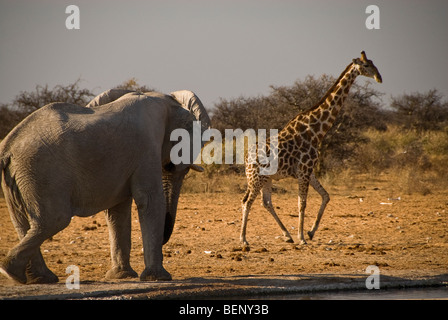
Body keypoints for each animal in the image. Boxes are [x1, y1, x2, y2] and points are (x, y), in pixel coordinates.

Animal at [0, 89, 211, 284]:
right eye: (172, 167)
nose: (165, 240)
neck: (167, 101)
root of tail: (7, 146)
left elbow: (117, 210)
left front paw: (122, 276)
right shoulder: (146, 147)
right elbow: (149, 201)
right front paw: (159, 278)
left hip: (20, 174)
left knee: (22, 222)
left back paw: (35, 277)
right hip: (41, 170)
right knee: (55, 219)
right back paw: (15, 273)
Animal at [240, 50, 384, 246]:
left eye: (373, 63)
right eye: (367, 65)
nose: (379, 77)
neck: (316, 131)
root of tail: (246, 158)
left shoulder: (310, 171)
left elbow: (326, 196)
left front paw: (310, 232)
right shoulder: (304, 170)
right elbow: (302, 203)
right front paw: (302, 237)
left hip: (266, 179)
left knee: (265, 202)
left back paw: (287, 235)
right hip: (257, 178)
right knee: (247, 202)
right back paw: (244, 240)